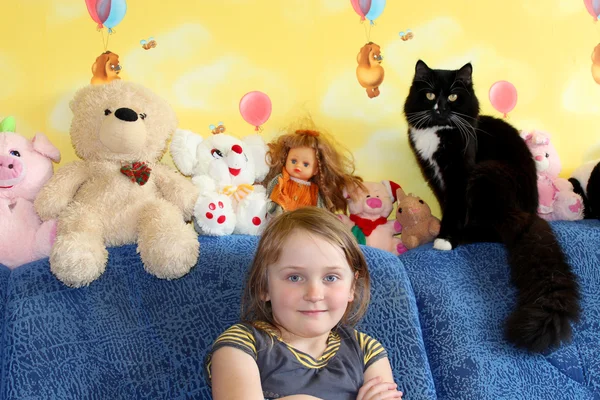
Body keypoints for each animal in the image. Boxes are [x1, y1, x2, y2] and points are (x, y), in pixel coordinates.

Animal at [404, 60, 580, 354]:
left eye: (453, 96)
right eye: (429, 95)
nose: (440, 108)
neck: (439, 131)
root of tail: (531, 213)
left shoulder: (460, 175)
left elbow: (454, 211)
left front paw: (446, 239)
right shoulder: (435, 177)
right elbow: (445, 206)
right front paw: (441, 233)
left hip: (488, 173)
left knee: (498, 231)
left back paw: (464, 236)